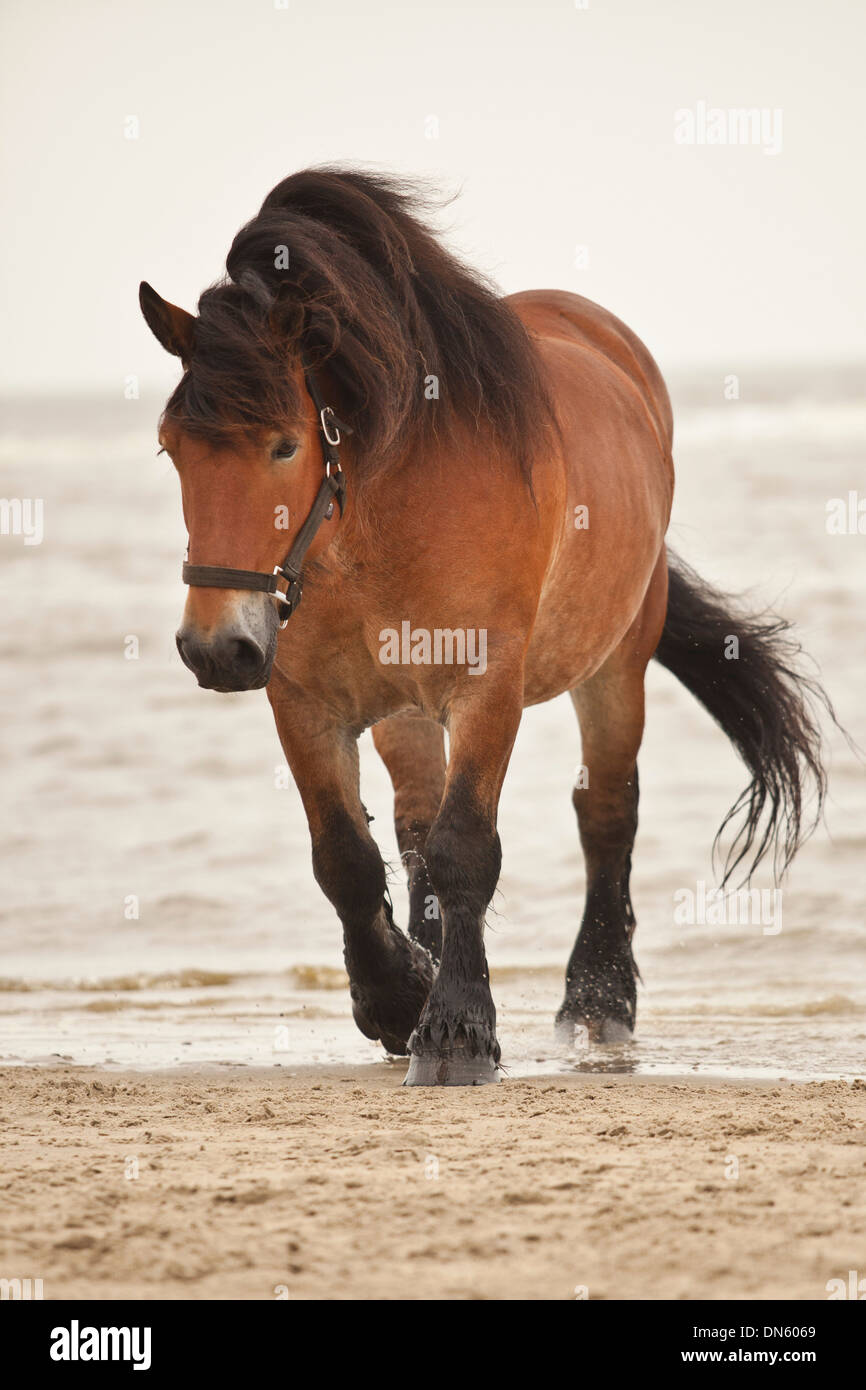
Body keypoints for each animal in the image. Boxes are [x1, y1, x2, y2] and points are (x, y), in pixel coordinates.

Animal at [140, 167, 831, 1086]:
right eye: (170, 446)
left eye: (284, 445)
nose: (216, 647)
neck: (376, 514)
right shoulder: (304, 702)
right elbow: (347, 860)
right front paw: (399, 998)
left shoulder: (486, 686)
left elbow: (466, 846)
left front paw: (458, 1030)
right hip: (402, 709)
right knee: (413, 827)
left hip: (615, 665)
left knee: (605, 812)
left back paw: (598, 1000)